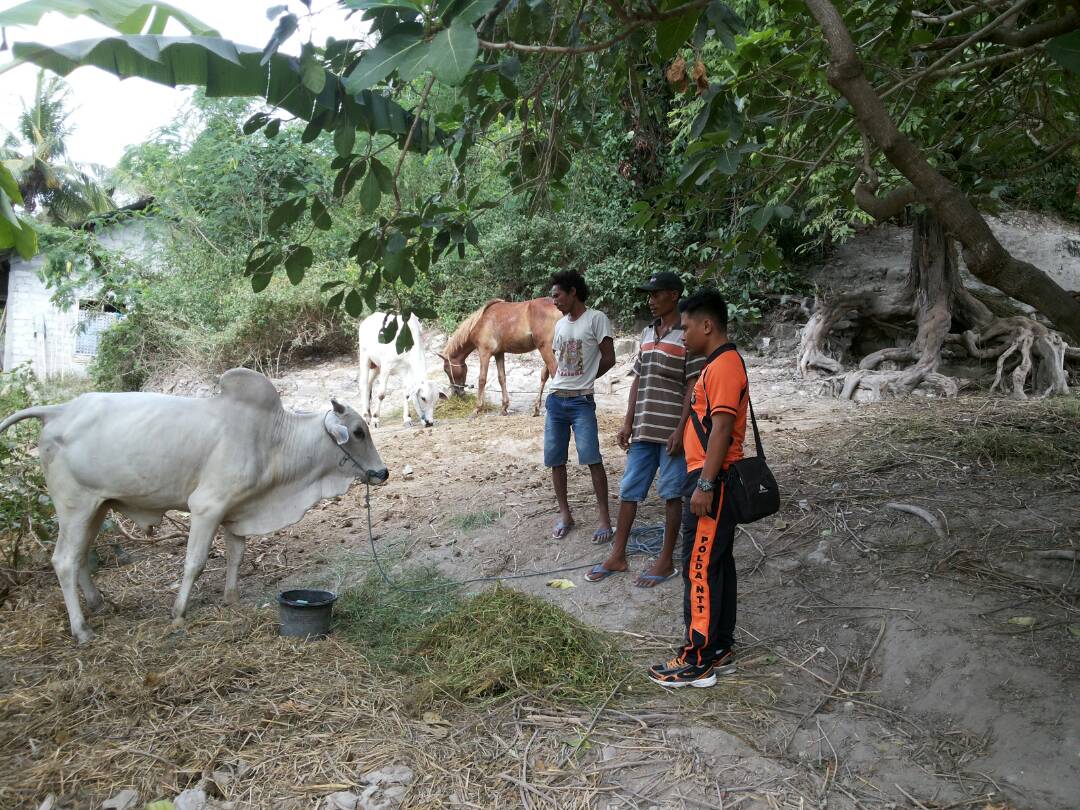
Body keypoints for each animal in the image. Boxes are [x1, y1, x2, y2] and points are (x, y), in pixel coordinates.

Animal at [0, 369, 388, 648]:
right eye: (357, 431)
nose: (382, 472)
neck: (273, 439)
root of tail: (59, 409)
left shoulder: (236, 511)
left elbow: (236, 557)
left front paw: (232, 600)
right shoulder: (207, 507)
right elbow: (194, 563)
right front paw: (178, 613)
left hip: (97, 506)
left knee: (80, 556)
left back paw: (97, 606)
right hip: (75, 505)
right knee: (64, 560)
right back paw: (81, 630)